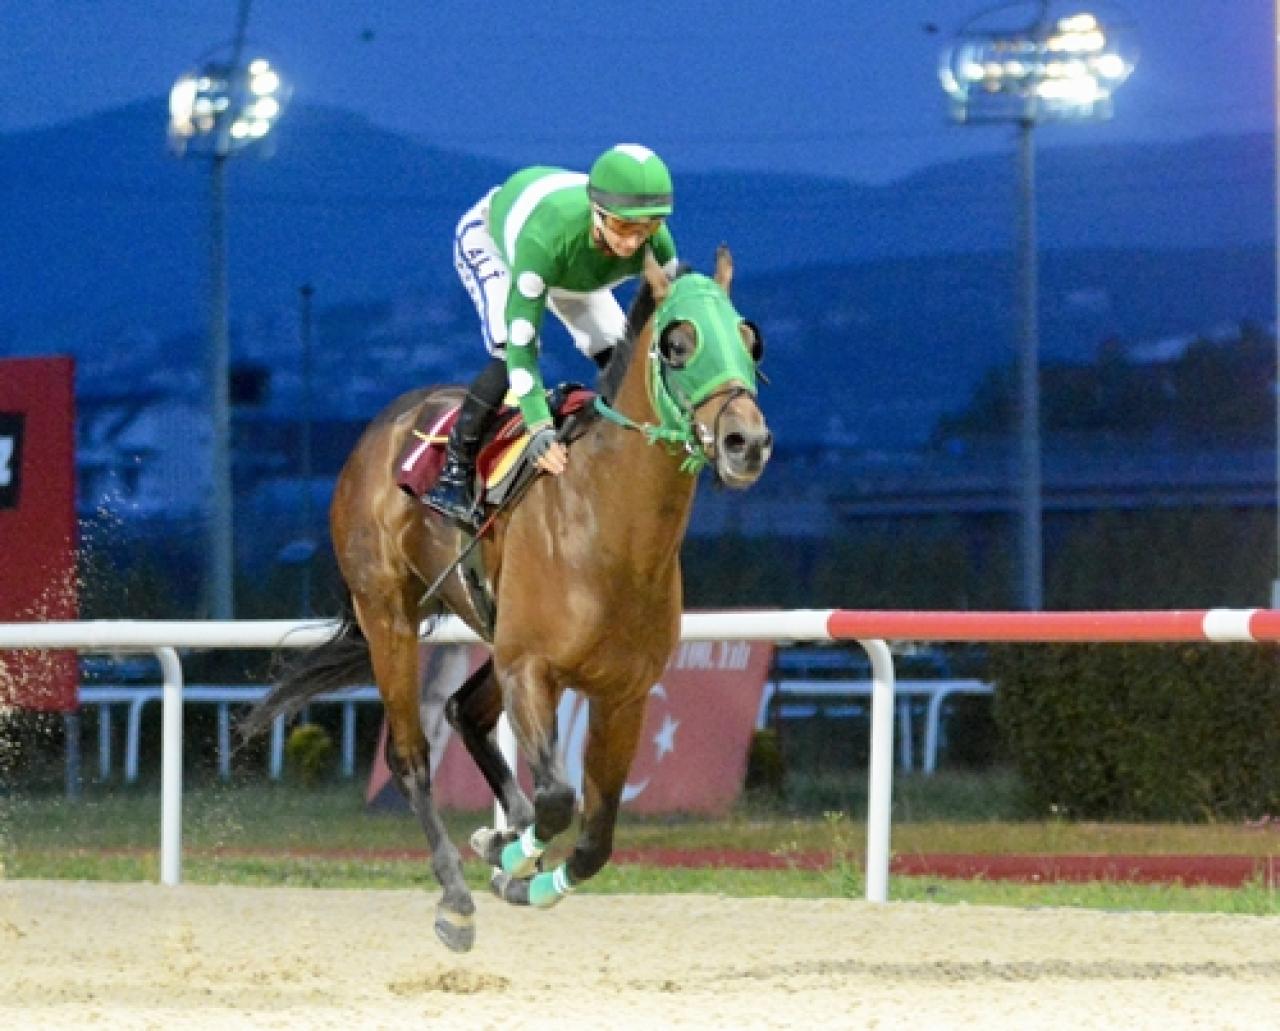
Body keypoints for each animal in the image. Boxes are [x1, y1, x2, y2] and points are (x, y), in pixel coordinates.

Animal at [240, 247, 768, 947]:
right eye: (678, 344)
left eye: (750, 340)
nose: (747, 442)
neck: (609, 523)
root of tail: (383, 427)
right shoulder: (532, 670)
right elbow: (558, 800)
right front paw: (508, 857)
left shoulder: (623, 693)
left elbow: (595, 839)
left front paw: (517, 863)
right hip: (389, 616)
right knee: (411, 754)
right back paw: (457, 892)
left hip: (493, 628)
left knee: (463, 709)